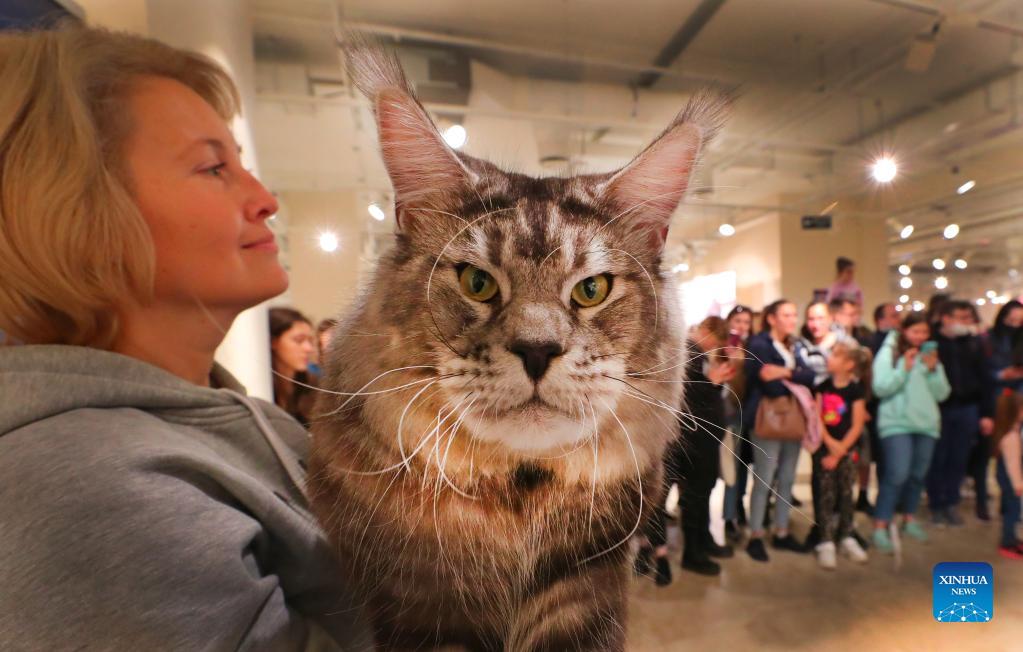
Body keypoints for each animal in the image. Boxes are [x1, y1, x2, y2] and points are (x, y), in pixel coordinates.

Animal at [306, 38, 724, 646]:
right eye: (477, 283)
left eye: (592, 290)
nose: (537, 350)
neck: (517, 512)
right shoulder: (418, 608)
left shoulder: (590, 588)